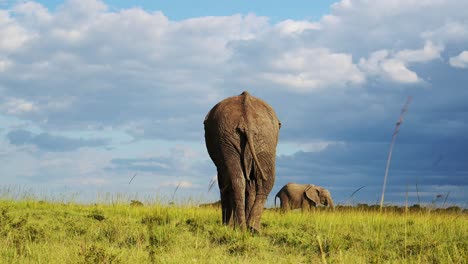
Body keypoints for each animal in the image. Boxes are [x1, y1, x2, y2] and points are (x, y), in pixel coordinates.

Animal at [203, 92, 280, 232]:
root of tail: (247, 119)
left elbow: (225, 183)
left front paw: (227, 226)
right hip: (259, 138)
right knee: (263, 180)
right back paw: (250, 228)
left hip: (235, 137)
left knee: (238, 180)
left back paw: (246, 228)